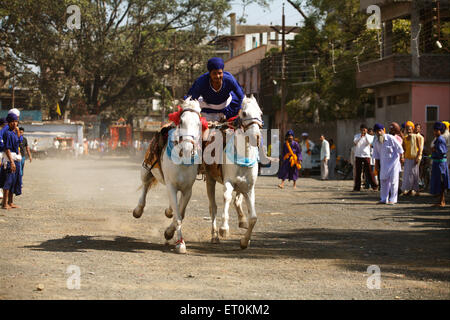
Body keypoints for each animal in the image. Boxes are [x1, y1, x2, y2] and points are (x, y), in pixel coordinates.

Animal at [132, 97, 202, 252]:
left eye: (199, 124)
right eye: (181, 121)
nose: (187, 149)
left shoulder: (187, 190)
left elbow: (180, 213)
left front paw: (170, 233)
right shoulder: (171, 185)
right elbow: (178, 217)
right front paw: (180, 243)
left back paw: (168, 211)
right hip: (146, 169)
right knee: (145, 186)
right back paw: (138, 210)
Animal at [205, 96, 264, 249]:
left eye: (261, 113)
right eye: (244, 113)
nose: (256, 137)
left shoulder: (249, 188)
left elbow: (253, 217)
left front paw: (244, 241)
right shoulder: (228, 181)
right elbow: (226, 197)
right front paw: (224, 228)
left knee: (237, 201)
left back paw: (242, 220)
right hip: (210, 178)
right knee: (213, 207)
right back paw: (214, 236)